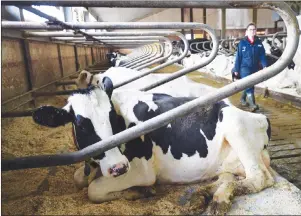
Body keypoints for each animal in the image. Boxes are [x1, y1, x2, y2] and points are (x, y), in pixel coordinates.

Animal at [31, 73, 274, 216]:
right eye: (81, 125)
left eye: (112, 118)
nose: (118, 167)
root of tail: (261, 117)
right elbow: (79, 179)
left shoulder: (141, 170)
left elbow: (93, 190)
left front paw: (138, 192)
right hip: (228, 162)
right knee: (231, 177)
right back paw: (207, 196)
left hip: (236, 128)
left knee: (258, 178)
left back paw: (218, 200)